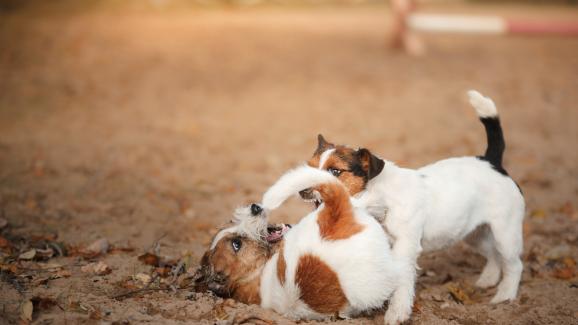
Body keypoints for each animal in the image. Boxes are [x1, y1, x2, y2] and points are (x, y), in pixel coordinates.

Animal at [302, 90, 520, 324]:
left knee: (514, 264)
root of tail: (491, 162)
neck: (381, 200)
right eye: (309, 167)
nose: (301, 189)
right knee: (493, 254)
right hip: (473, 234)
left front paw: (396, 313)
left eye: (335, 171)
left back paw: (505, 296)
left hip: (506, 234)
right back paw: (488, 280)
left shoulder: (405, 250)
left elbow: (402, 283)